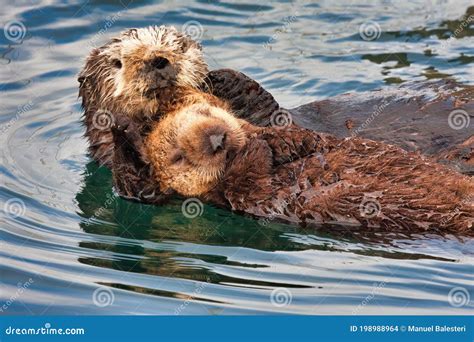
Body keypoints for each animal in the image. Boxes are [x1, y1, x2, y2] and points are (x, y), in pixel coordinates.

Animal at [139, 96, 472, 235]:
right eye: (178, 156)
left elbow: (310, 139)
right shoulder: (250, 199)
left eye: (205, 111)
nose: (217, 138)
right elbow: (248, 184)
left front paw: (280, 140)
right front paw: (255, 149)